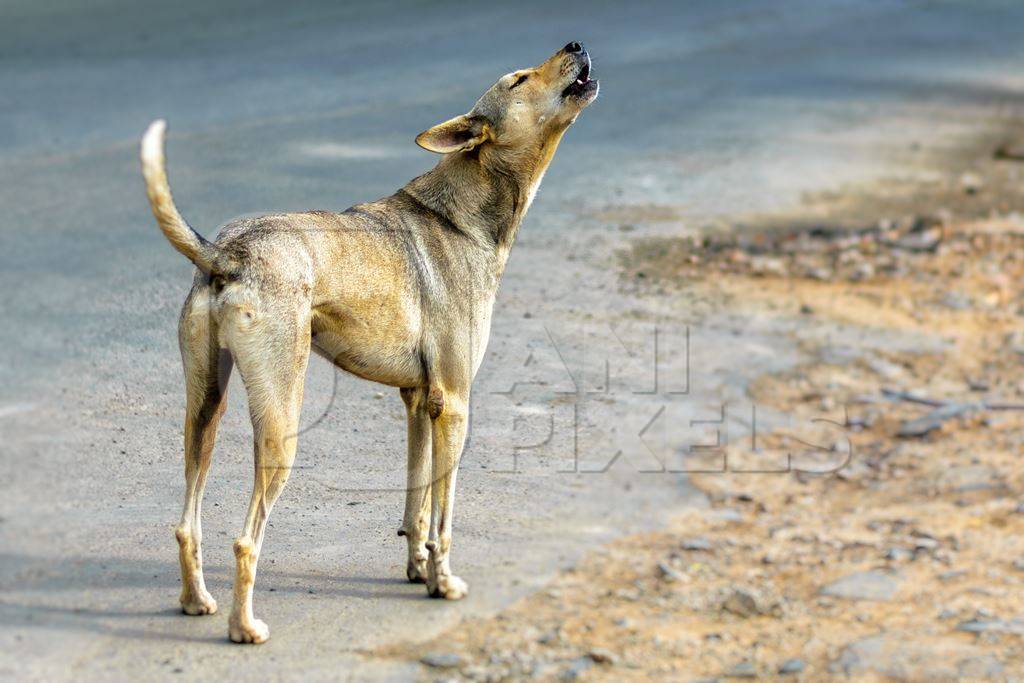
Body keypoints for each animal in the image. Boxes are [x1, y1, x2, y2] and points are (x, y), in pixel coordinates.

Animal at [140, 41, 598, 643]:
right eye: (518, 79)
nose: (576, 44)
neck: (462, 213)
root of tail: (229, 252)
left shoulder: (419, 403)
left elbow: (416, 507)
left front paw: (418, 571)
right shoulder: (455, 406)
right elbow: (444, 517)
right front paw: (444, 583)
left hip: (204, 411)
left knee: (185, 524)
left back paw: (197, 601)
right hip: (281, 430)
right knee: (244, 541)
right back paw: (245, 627)